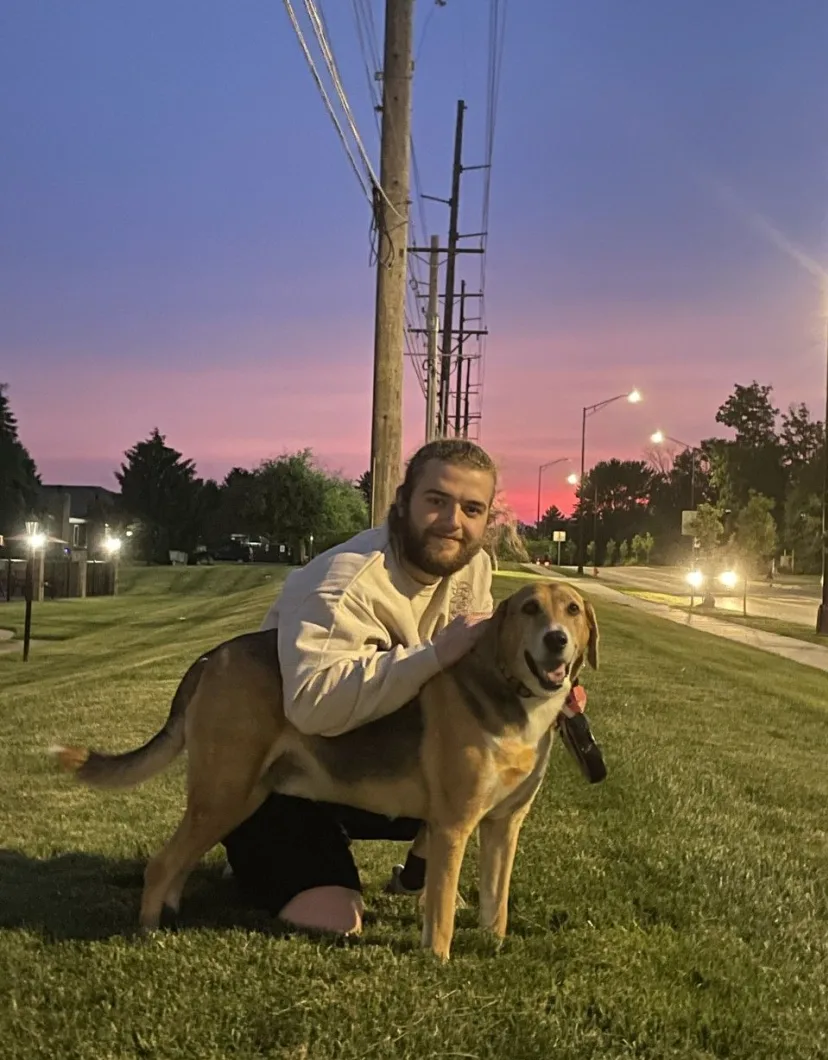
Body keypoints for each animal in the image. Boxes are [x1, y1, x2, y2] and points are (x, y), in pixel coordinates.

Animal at [54, 580, 597, 962]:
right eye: (529, 609)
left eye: (572, 610)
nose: (556, 640)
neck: (510, 692)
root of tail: (213, 655)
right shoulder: (452, 826)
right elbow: (441, 910)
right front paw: (437, 961)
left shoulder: (503, 826)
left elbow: (495, 903)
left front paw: (493, 946)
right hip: (225, 792)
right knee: (162, 863)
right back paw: (149, 933)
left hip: (234, 796)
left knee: (180, 860)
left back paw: (171, 914)